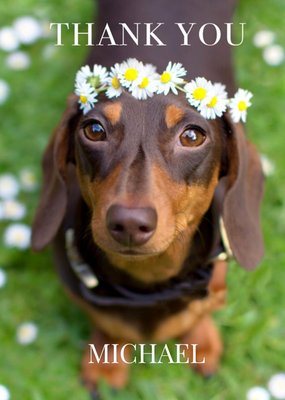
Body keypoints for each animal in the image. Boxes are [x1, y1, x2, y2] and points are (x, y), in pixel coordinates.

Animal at [30, 0, 262, 396]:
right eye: (94, 129)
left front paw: (201, 340)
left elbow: (202, 305)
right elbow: (107, 322)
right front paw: (107, 360)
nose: (129, 223)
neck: (149, 281)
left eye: (192, 136)